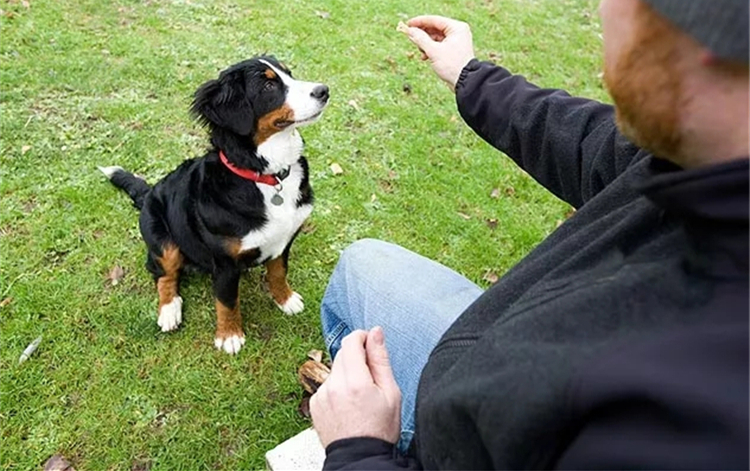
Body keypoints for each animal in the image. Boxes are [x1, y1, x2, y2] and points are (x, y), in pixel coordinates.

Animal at [99, 56, 328, 354]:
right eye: (268, 85)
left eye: (289, 74)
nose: (324, 91)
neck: (266, 177)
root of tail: (149, 193)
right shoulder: (225, 262)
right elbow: (227, 300)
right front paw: (229, 335)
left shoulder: (284, 240)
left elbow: (278, 273)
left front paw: (285, 300)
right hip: (162, 238)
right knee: (163, 274)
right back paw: (169, 311)